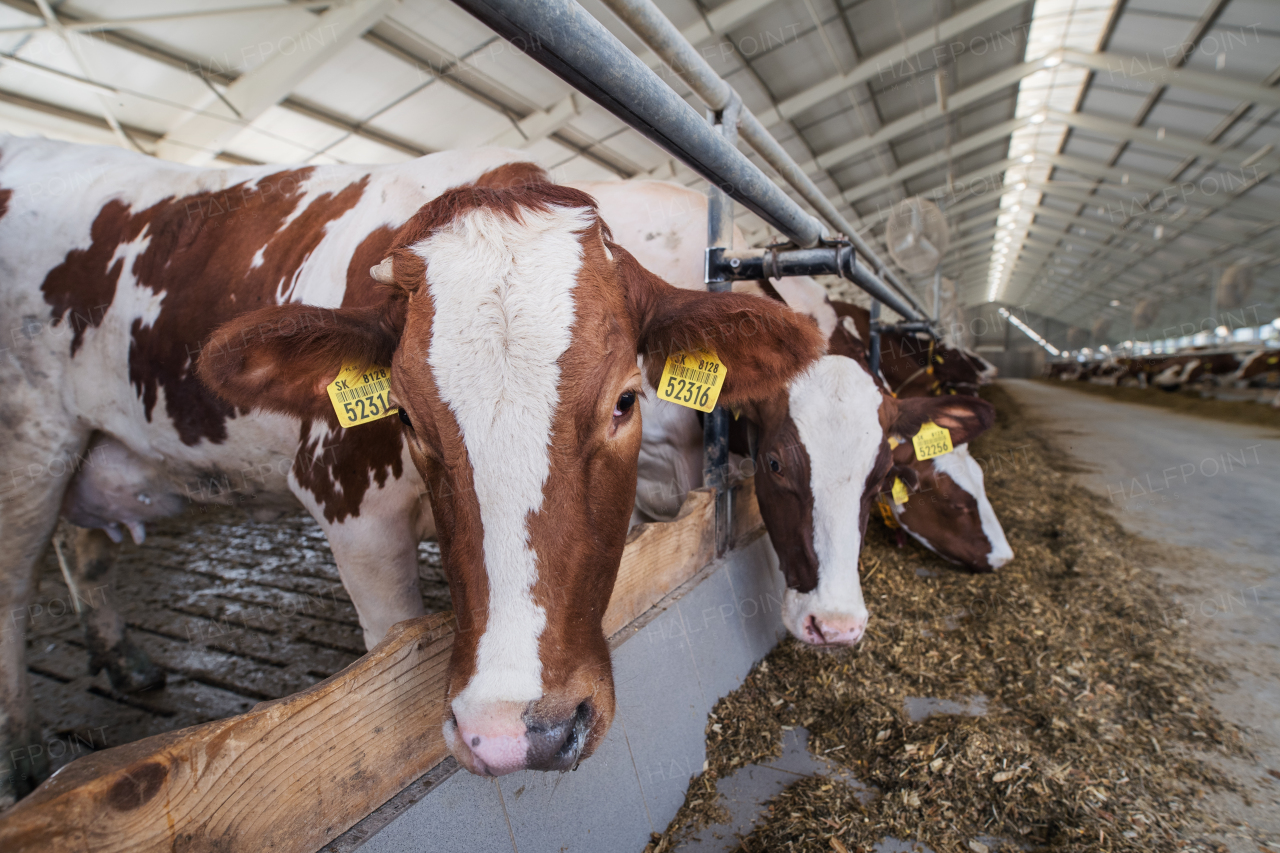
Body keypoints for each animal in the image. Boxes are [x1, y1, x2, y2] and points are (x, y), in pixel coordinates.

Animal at [0, 139, 819, 799]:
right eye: (404, 415)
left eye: (625, 400)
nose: (517, 733)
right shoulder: (354, 516)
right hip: (26, 447)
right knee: (14, 585)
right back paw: (22, 755)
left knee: (83, 545)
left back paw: (123, 659)